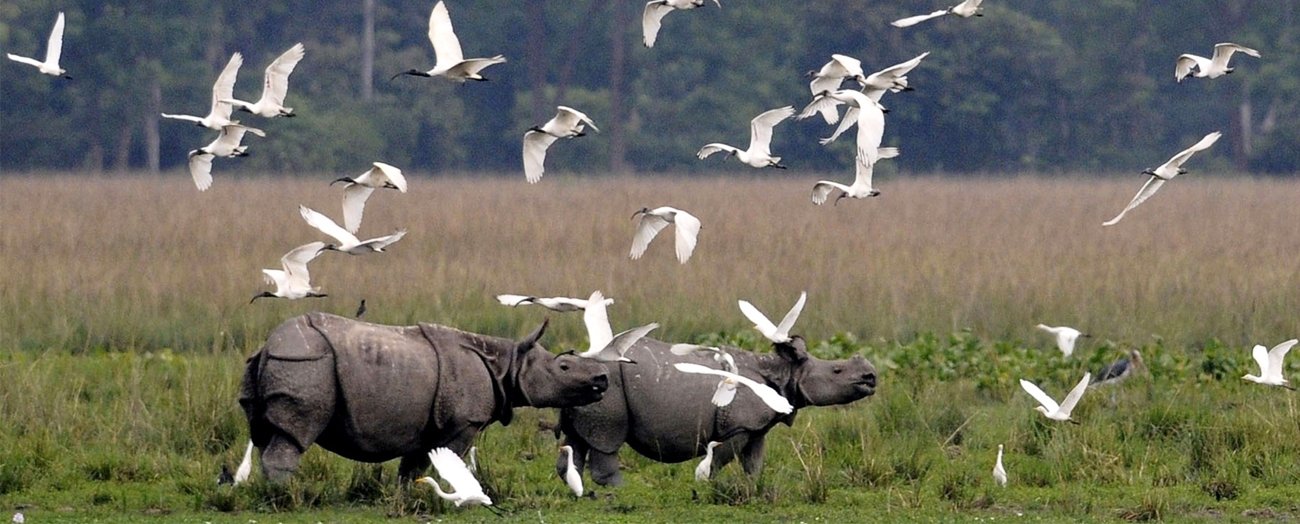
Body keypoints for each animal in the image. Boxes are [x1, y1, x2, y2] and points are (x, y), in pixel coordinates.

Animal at [239, 312, 610, 482]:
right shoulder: (464, 422)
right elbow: (452, 458)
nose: (602, 379)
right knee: (295, 433)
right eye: (563, 367)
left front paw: (409, 496)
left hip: (284, 362)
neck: (508, 362)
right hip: (305, 363)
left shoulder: (426, 423)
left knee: (266, 434)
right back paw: (286, 496)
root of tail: (268, 345)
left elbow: (413, 465)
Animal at [557, 336, 876, 485]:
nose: (871, 377)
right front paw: (707, 484)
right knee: (607, 438)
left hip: (585, 385)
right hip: (608, 385)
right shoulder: (737, 426)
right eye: (837, 370)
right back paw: (617, 491)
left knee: (577, 439)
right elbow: (720, 457)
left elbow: (754, 463)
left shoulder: (756, 428)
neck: (785, 371)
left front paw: (752, 489)